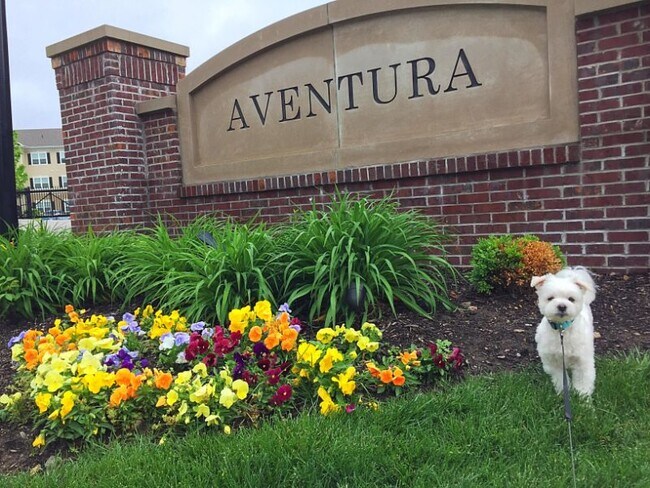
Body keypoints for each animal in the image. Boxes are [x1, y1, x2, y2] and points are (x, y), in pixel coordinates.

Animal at [528, 266, 596, 396]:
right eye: (550, 298)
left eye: (571, 299)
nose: (562, 306)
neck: (562, 329)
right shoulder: (554, 362)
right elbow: (560, 380)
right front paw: (562, 393)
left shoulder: (583, 361)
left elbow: (583, 382)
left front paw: (584, 399)